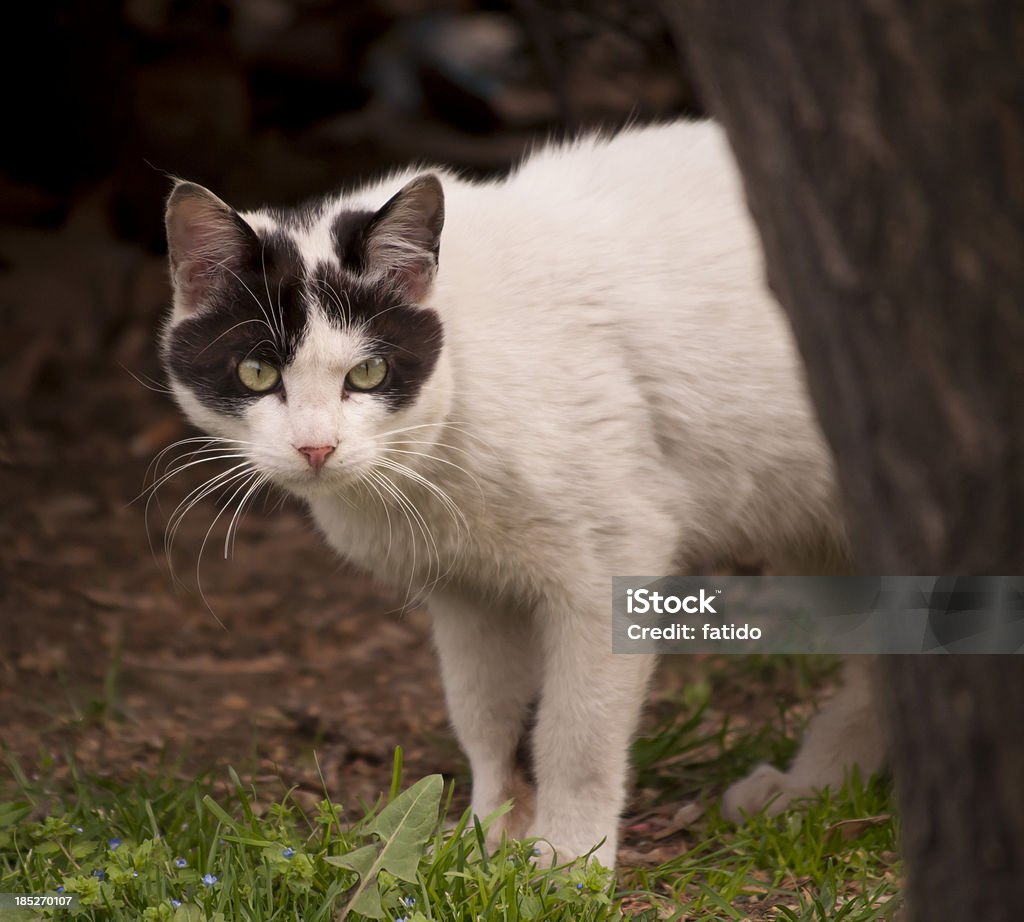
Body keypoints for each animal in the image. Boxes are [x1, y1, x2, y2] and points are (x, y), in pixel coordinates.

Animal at [159, 118, 888, 868]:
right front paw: (486, 842)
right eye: (256, 372)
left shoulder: (609, 572)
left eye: (367, 373)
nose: (316, 447)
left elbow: (576, 737)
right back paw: (817, 791)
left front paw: (569, 862)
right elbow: (486, 722)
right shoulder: (469, 594)